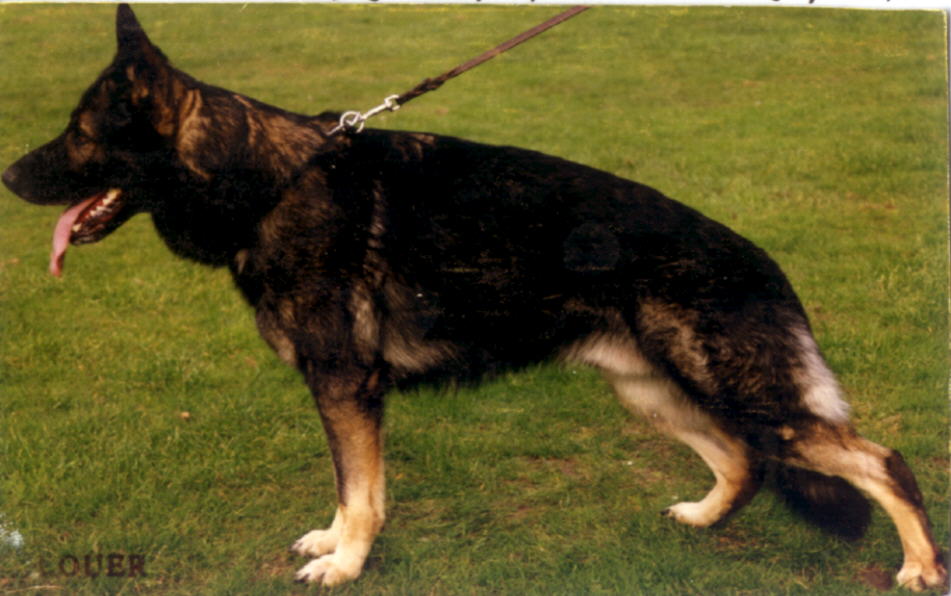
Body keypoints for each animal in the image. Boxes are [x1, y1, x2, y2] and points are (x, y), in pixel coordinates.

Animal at [2, 5, 946, 591]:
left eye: (79, 134)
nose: (8, 175)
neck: (268, 180)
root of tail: (760, 259)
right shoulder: (343, 392)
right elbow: (352, 487)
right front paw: (338, 544)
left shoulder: (345, 386)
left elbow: (359, 488)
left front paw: (345, 564)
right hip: (651, 392)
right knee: (743, 461)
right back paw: (704, 518)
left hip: (742, 394)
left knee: (880, 461)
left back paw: (918, 567)